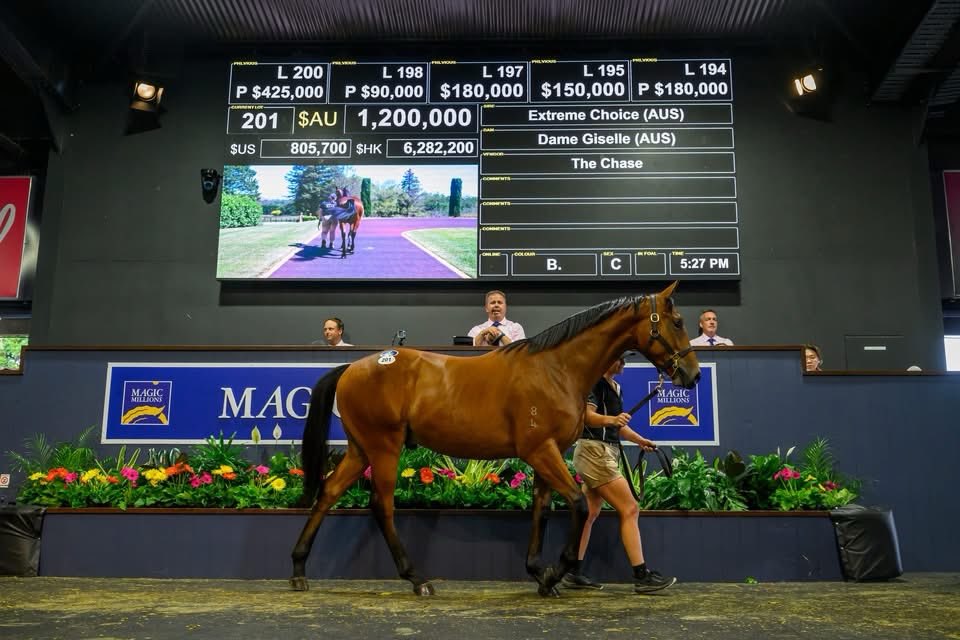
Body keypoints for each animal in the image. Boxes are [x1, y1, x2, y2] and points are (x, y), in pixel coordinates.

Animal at [290, 281, 700, 596]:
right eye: (677, 321)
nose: (692, 375)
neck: (555, 368)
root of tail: (353, 367)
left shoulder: (545, 454)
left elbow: (541, 510)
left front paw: (539, 573)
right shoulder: (541, 452)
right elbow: (579, 505)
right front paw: (555, 572)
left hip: (361, 449)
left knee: (329, 492)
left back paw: (298, 569)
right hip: (384, 448)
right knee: (381, 505)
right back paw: (417, 578)